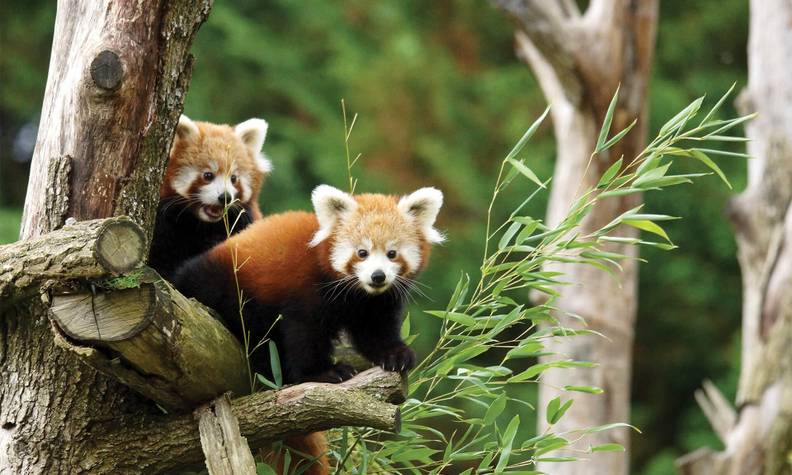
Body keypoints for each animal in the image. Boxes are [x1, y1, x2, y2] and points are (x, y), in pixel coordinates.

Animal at [172, 184, 446, 474]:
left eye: (392, 254)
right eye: (362, 253)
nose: (378, 276)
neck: (357, 293)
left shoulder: (375, 304)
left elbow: (374, 333)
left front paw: (395, 354)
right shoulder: (306, 289)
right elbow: (305, 336)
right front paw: (323, 373)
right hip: (226, 286)